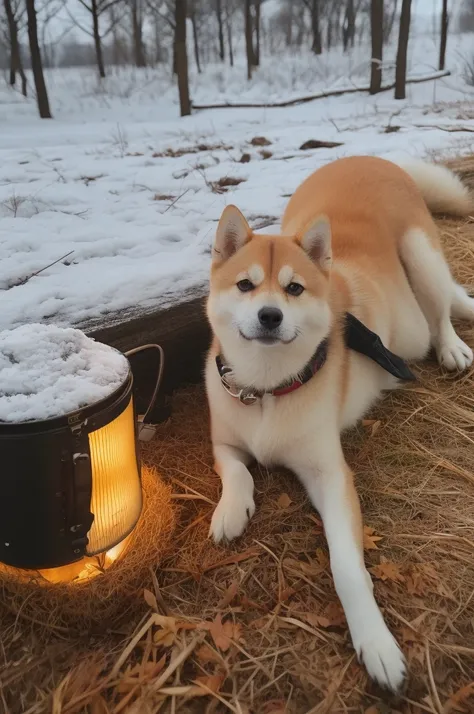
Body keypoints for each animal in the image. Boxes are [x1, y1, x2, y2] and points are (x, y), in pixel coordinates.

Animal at [205, 156, 474, 688]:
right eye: (245, 285)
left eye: (294, 288)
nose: (269, 315)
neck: (266, 389)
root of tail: (370, 157)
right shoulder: (223, 438)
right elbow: (237, 470)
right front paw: (231, 509)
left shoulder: (330, 475)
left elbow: (347, 567)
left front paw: (375, 642)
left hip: (421, 256)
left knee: (442, 314)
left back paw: (451, 346)